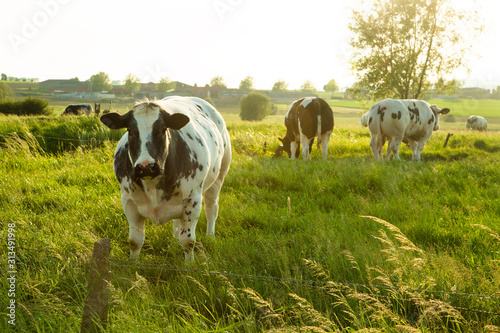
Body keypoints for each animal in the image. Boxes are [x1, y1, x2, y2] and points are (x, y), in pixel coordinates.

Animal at [102, 96, 234, 260]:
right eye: (130, 131)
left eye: (162, 130)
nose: (146, 166)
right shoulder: (129, 201)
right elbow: (135, 241)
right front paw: (132, 263)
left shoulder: (192, 201)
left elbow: (188, 241)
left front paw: (189, 264)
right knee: (177, 222)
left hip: (219, 177)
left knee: (212, 208)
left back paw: (210, 236)